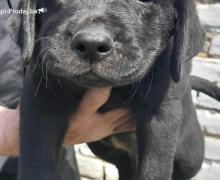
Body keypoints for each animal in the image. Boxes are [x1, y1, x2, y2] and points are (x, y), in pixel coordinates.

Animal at [8, 0, 205, 180]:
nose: (91, 45)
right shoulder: (40, 104)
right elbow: (36, 162)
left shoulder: (160, 115)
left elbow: (154, 169)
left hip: (190, 159)